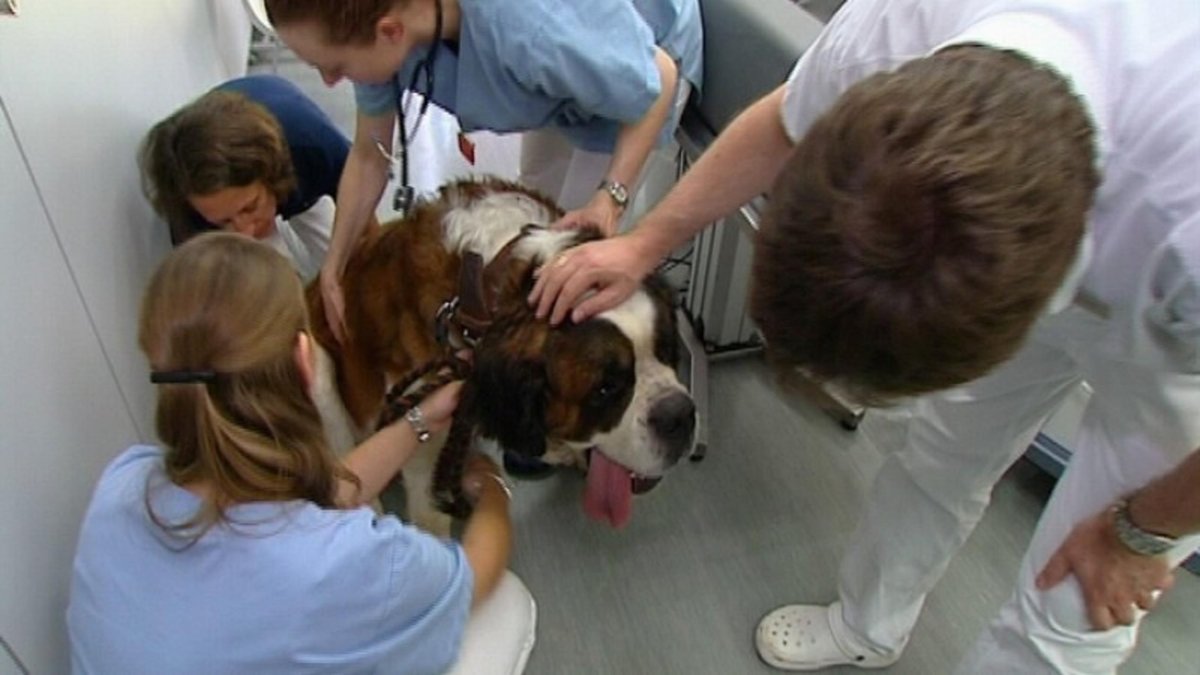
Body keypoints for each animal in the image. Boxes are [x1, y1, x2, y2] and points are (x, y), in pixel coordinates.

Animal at [309, 176, 700, 528]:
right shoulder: (418, 426)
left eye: (668, 351)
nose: (680, 415)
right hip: (316, 367)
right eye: (605, 389)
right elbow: (428, 506)